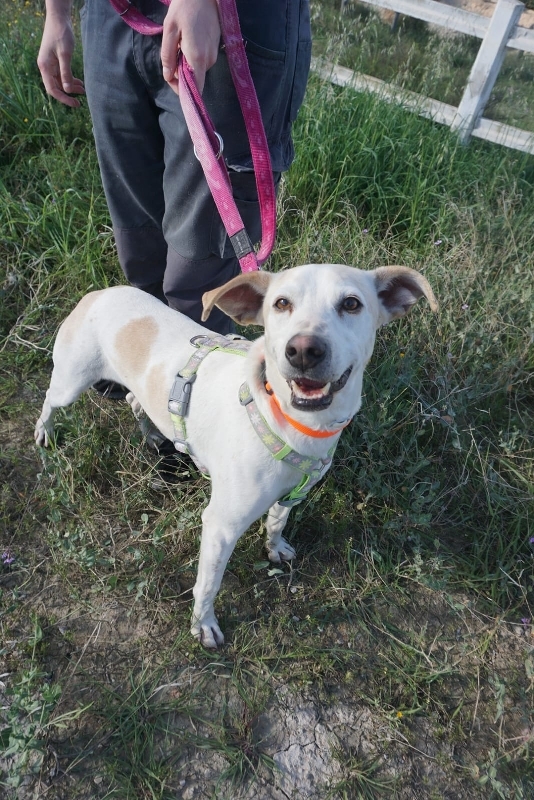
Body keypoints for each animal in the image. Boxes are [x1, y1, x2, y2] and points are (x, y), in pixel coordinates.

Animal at [35, 264, 437, 647]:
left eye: (351, 303)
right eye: (281, 303)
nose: (303, 350)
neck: (293, 422)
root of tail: (100, 293)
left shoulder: (292, 494)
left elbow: (276, 523)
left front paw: (275, 548)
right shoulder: (221, 526)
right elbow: (208, 583)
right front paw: (202, 627)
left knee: (135, 400)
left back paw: (153, 435)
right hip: (70, 383)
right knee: (51, 400)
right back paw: (45, 432)